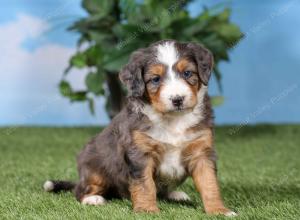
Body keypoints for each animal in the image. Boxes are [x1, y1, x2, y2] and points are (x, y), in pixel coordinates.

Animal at [44, 39, 237, 217]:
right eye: (155, 79)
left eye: (187, 73)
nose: (177, 99)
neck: (173, 120)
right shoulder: (140, 153)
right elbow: (145, 184)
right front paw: (147, 210)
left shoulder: (201, 152)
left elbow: (209, 183)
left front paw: (219, 211)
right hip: (95, 170)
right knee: (80, 190)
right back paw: (93, 199)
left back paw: (176, 194)